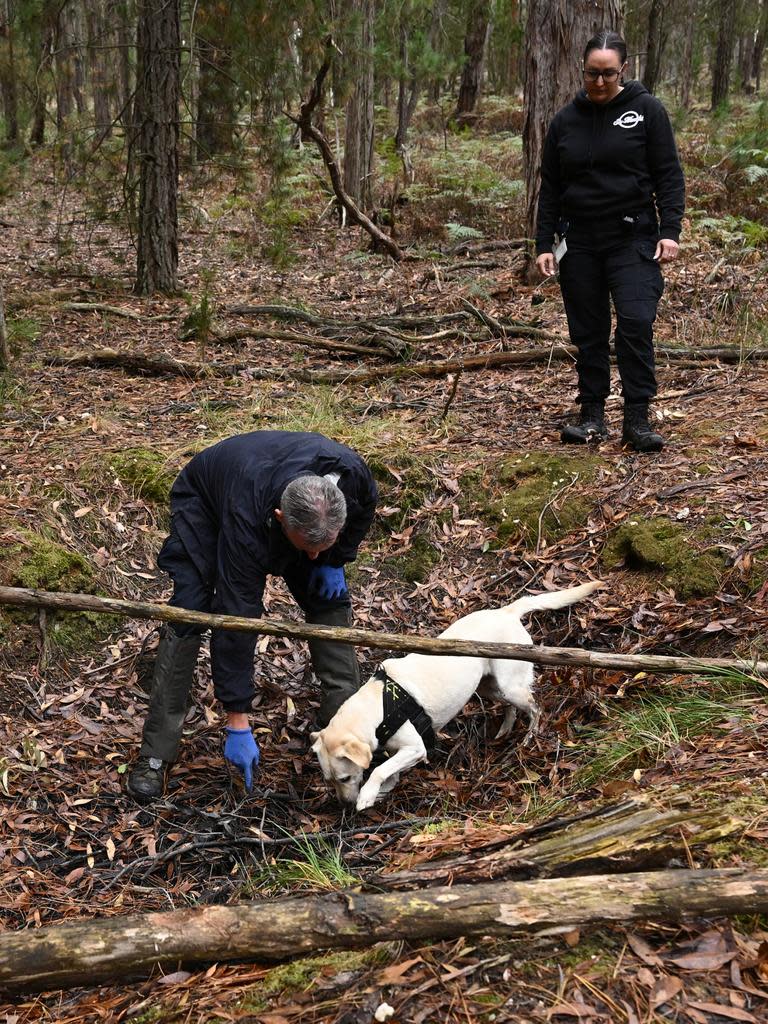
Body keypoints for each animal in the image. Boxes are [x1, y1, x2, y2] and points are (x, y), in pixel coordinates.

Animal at [311, 585, 602, 806]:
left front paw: (367, 795)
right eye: (328, 780)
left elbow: (380, 769)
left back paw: (529, 738)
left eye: (345, 778)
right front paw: (382, 790)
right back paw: (504, 731)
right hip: (487, 686)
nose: (345, 804)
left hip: (510, 685)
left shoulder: (416, 748)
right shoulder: (401, 750)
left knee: (535, 707)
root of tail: (506, 612)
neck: (378, 707)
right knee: (510, 707)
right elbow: (390, 771)